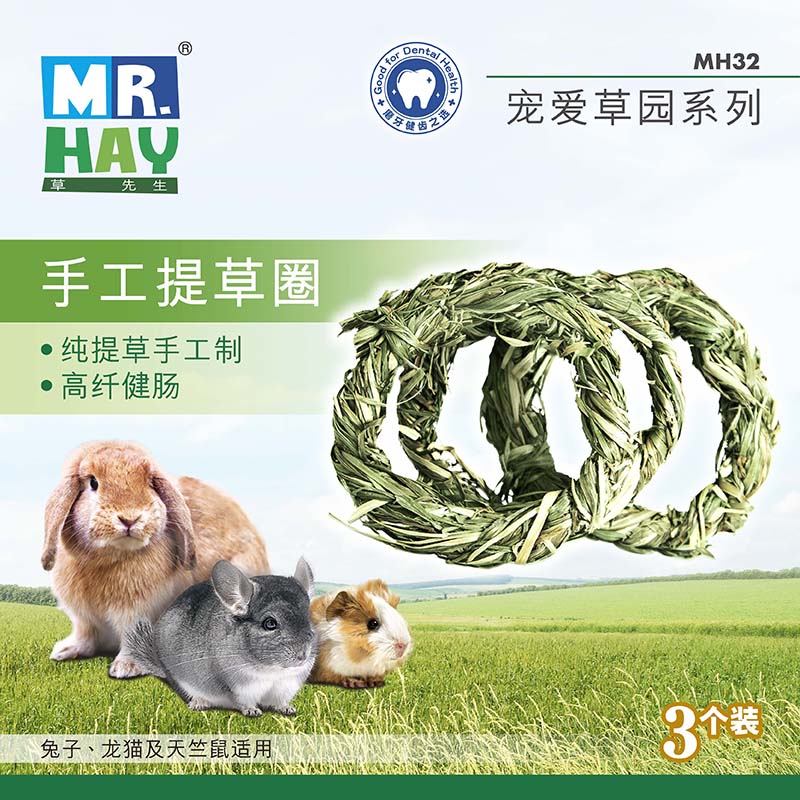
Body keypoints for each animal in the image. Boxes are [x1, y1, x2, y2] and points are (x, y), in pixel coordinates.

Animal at [42, 440, 269, 679]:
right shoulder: (83, 617)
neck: (107, 559)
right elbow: (84, 634)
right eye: (93, 483)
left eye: (150, 483)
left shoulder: (137, 611)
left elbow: (131, 637)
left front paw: (125, 667)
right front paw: (65, 651)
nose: (130, 518)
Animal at [124, 558, 316, 716]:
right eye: (270, 623)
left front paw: (288, 709)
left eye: (308, 619)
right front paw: (252, 711)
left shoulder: (286, 686)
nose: (303, 656)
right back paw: (199, 703)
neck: (272, 671)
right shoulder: (239, 686)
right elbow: (244, 702)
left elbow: (280, 701)